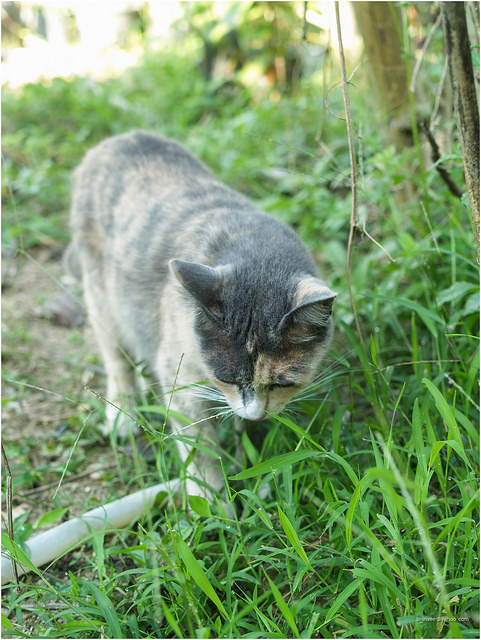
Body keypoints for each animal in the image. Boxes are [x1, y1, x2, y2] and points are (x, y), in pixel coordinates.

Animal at [65, 131, 336, 510]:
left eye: (282, 383)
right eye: (226, 377)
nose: (253, 413)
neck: (252, 249)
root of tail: (116, 140)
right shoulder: (180, 380)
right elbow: (201, 449)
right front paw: (215, 505)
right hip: (103, 298)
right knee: (116, 357)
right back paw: (122, 411)